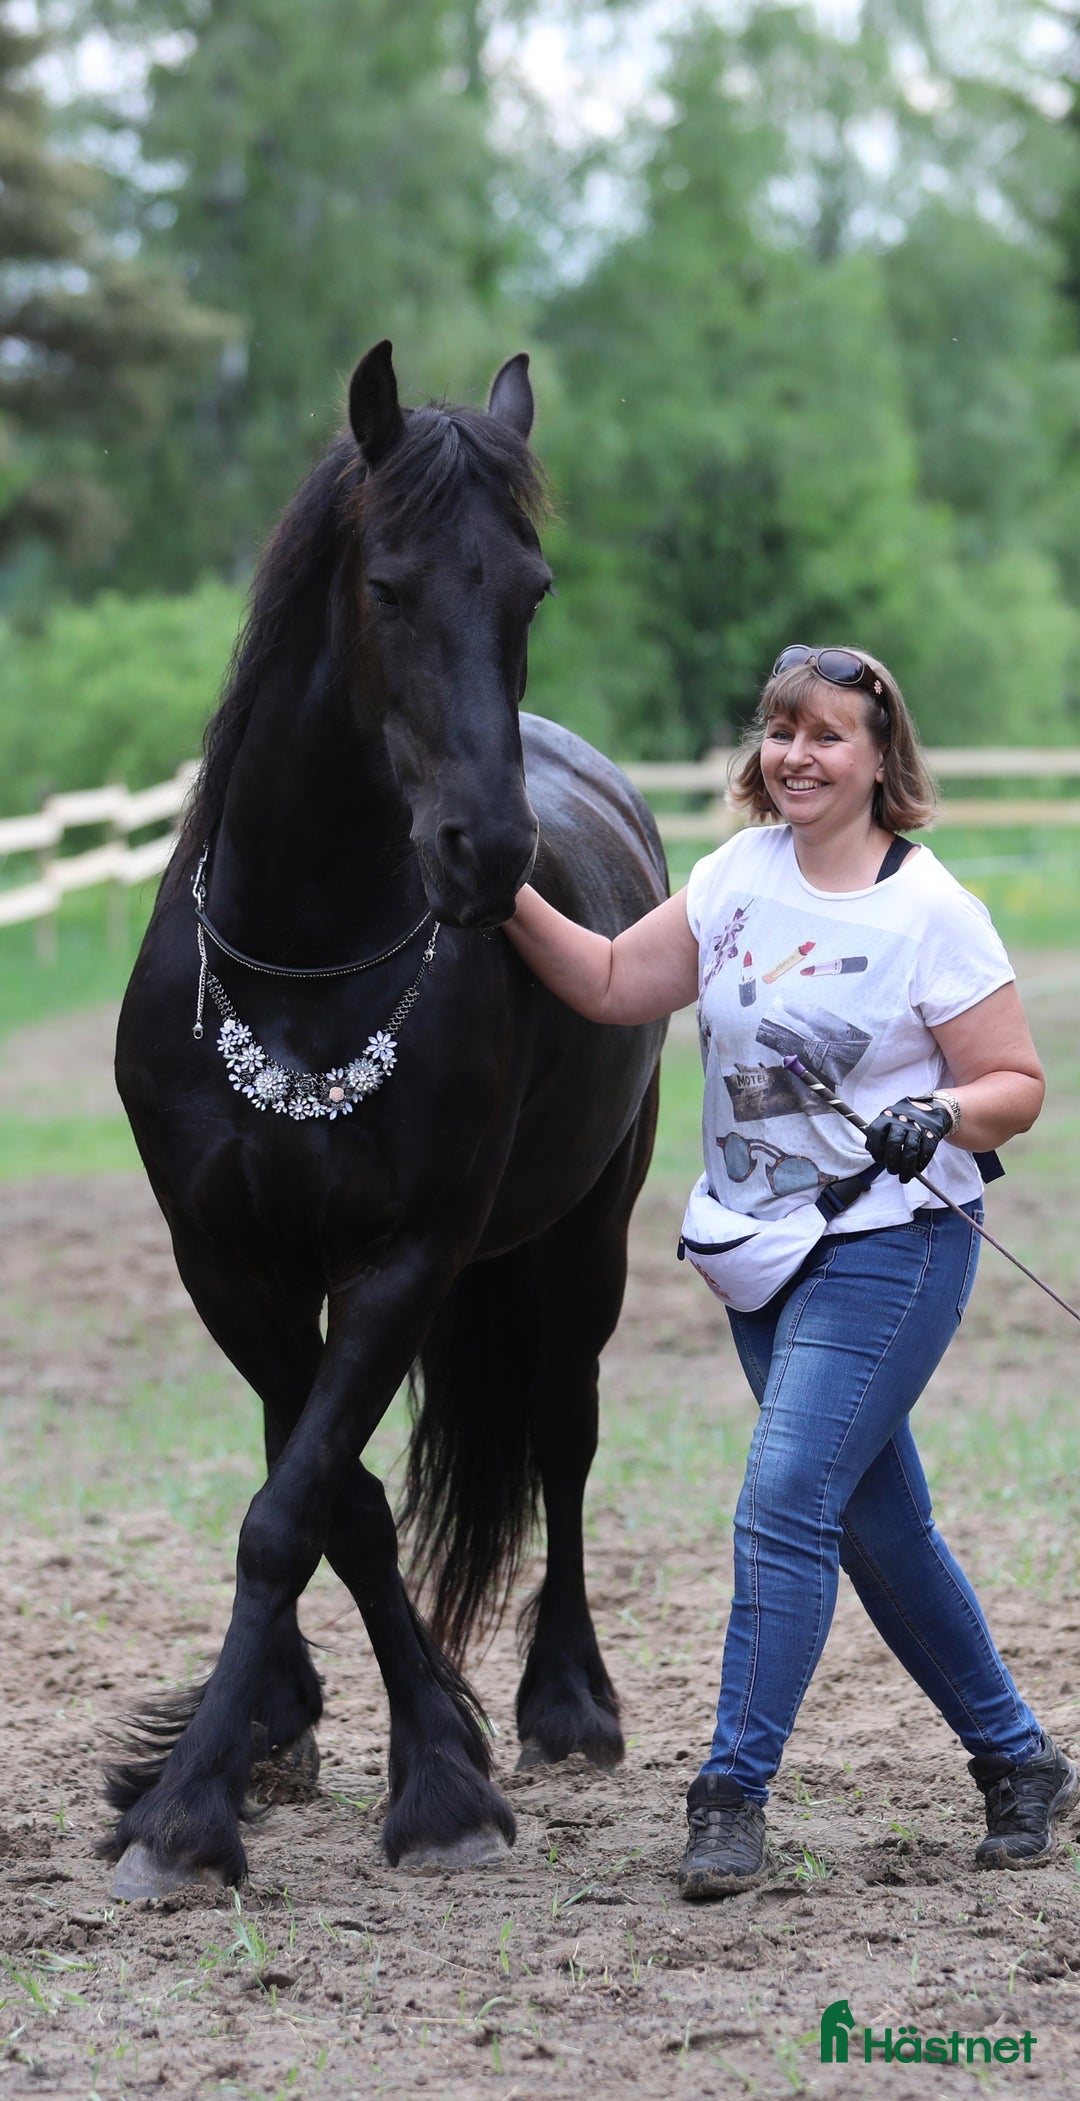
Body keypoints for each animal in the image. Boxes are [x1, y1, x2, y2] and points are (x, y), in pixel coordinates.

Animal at [108, 341, 667, 1897]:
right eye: (391, 586)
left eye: (531, 588)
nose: (490, 854)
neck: (303, 969)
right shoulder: (227, 1262)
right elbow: (324, 1496)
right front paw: (260, 1758)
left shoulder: (407, 1260)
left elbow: (300, 1504)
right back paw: (293, 1719)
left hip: (580, 1248)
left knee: (562, 1440)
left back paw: (566, 1704)